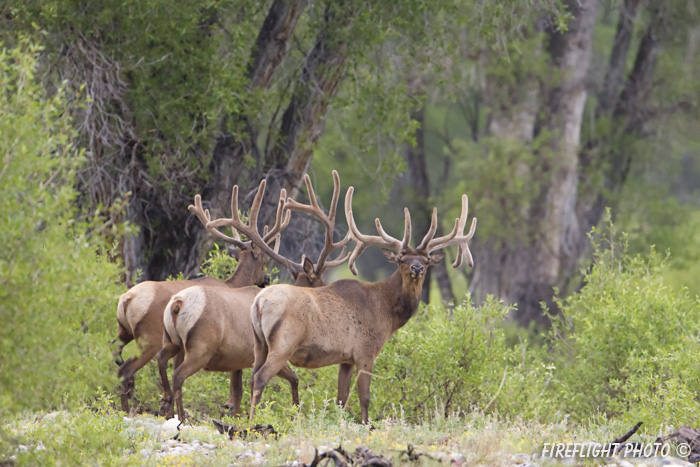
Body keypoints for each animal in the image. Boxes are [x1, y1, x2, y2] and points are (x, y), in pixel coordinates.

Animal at [115, 182, 290, 414]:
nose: (266, 279)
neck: (230, 284)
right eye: (263, 261)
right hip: (149, 339)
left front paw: (167, 406)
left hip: (124, 332)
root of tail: (127, 299)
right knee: (127, 370)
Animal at [158, 170, 350, 422]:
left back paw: (167, 406)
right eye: (320, 283)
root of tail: (178, 304)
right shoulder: (265, 351)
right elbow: (291, 380)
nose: (266, 279)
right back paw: (181, 417)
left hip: (172, 340)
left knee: (162, 362)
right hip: (201, 346)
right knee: (178, 375)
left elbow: (238, 393)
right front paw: (291, 413)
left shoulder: (238, 360)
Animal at [247, 186, 476, 424]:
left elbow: (341, 398)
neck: (386, 313)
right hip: (284, 343)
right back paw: (253, 421)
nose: (417, 268)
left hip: (259, 344)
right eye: (401, 260)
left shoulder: (346, 358)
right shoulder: (366, 352)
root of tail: (258, 303)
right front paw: (367, 425)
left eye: (426, 261)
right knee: (261, 377)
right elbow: (364, 398)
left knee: (252, 377)